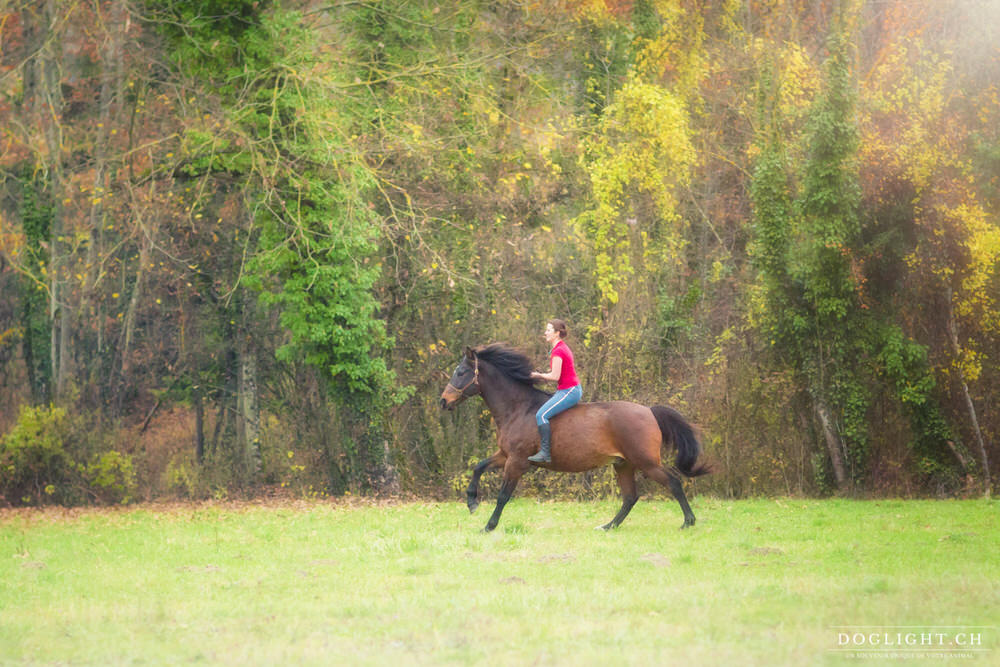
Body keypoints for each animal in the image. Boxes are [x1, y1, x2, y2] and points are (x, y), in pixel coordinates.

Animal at [440, 344, 712, 532]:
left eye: (461, 372)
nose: (443, 401)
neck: (517, 408)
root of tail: (649, 411)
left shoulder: (516, 461)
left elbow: (503, 495)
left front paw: (489, 526)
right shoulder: (505, 455)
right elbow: (478, 467)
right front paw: (472, 502)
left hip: (646, 462)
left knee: (673, 482)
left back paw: (688, 522)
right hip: (623, 464)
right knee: (630, 497)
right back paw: (607, 527)